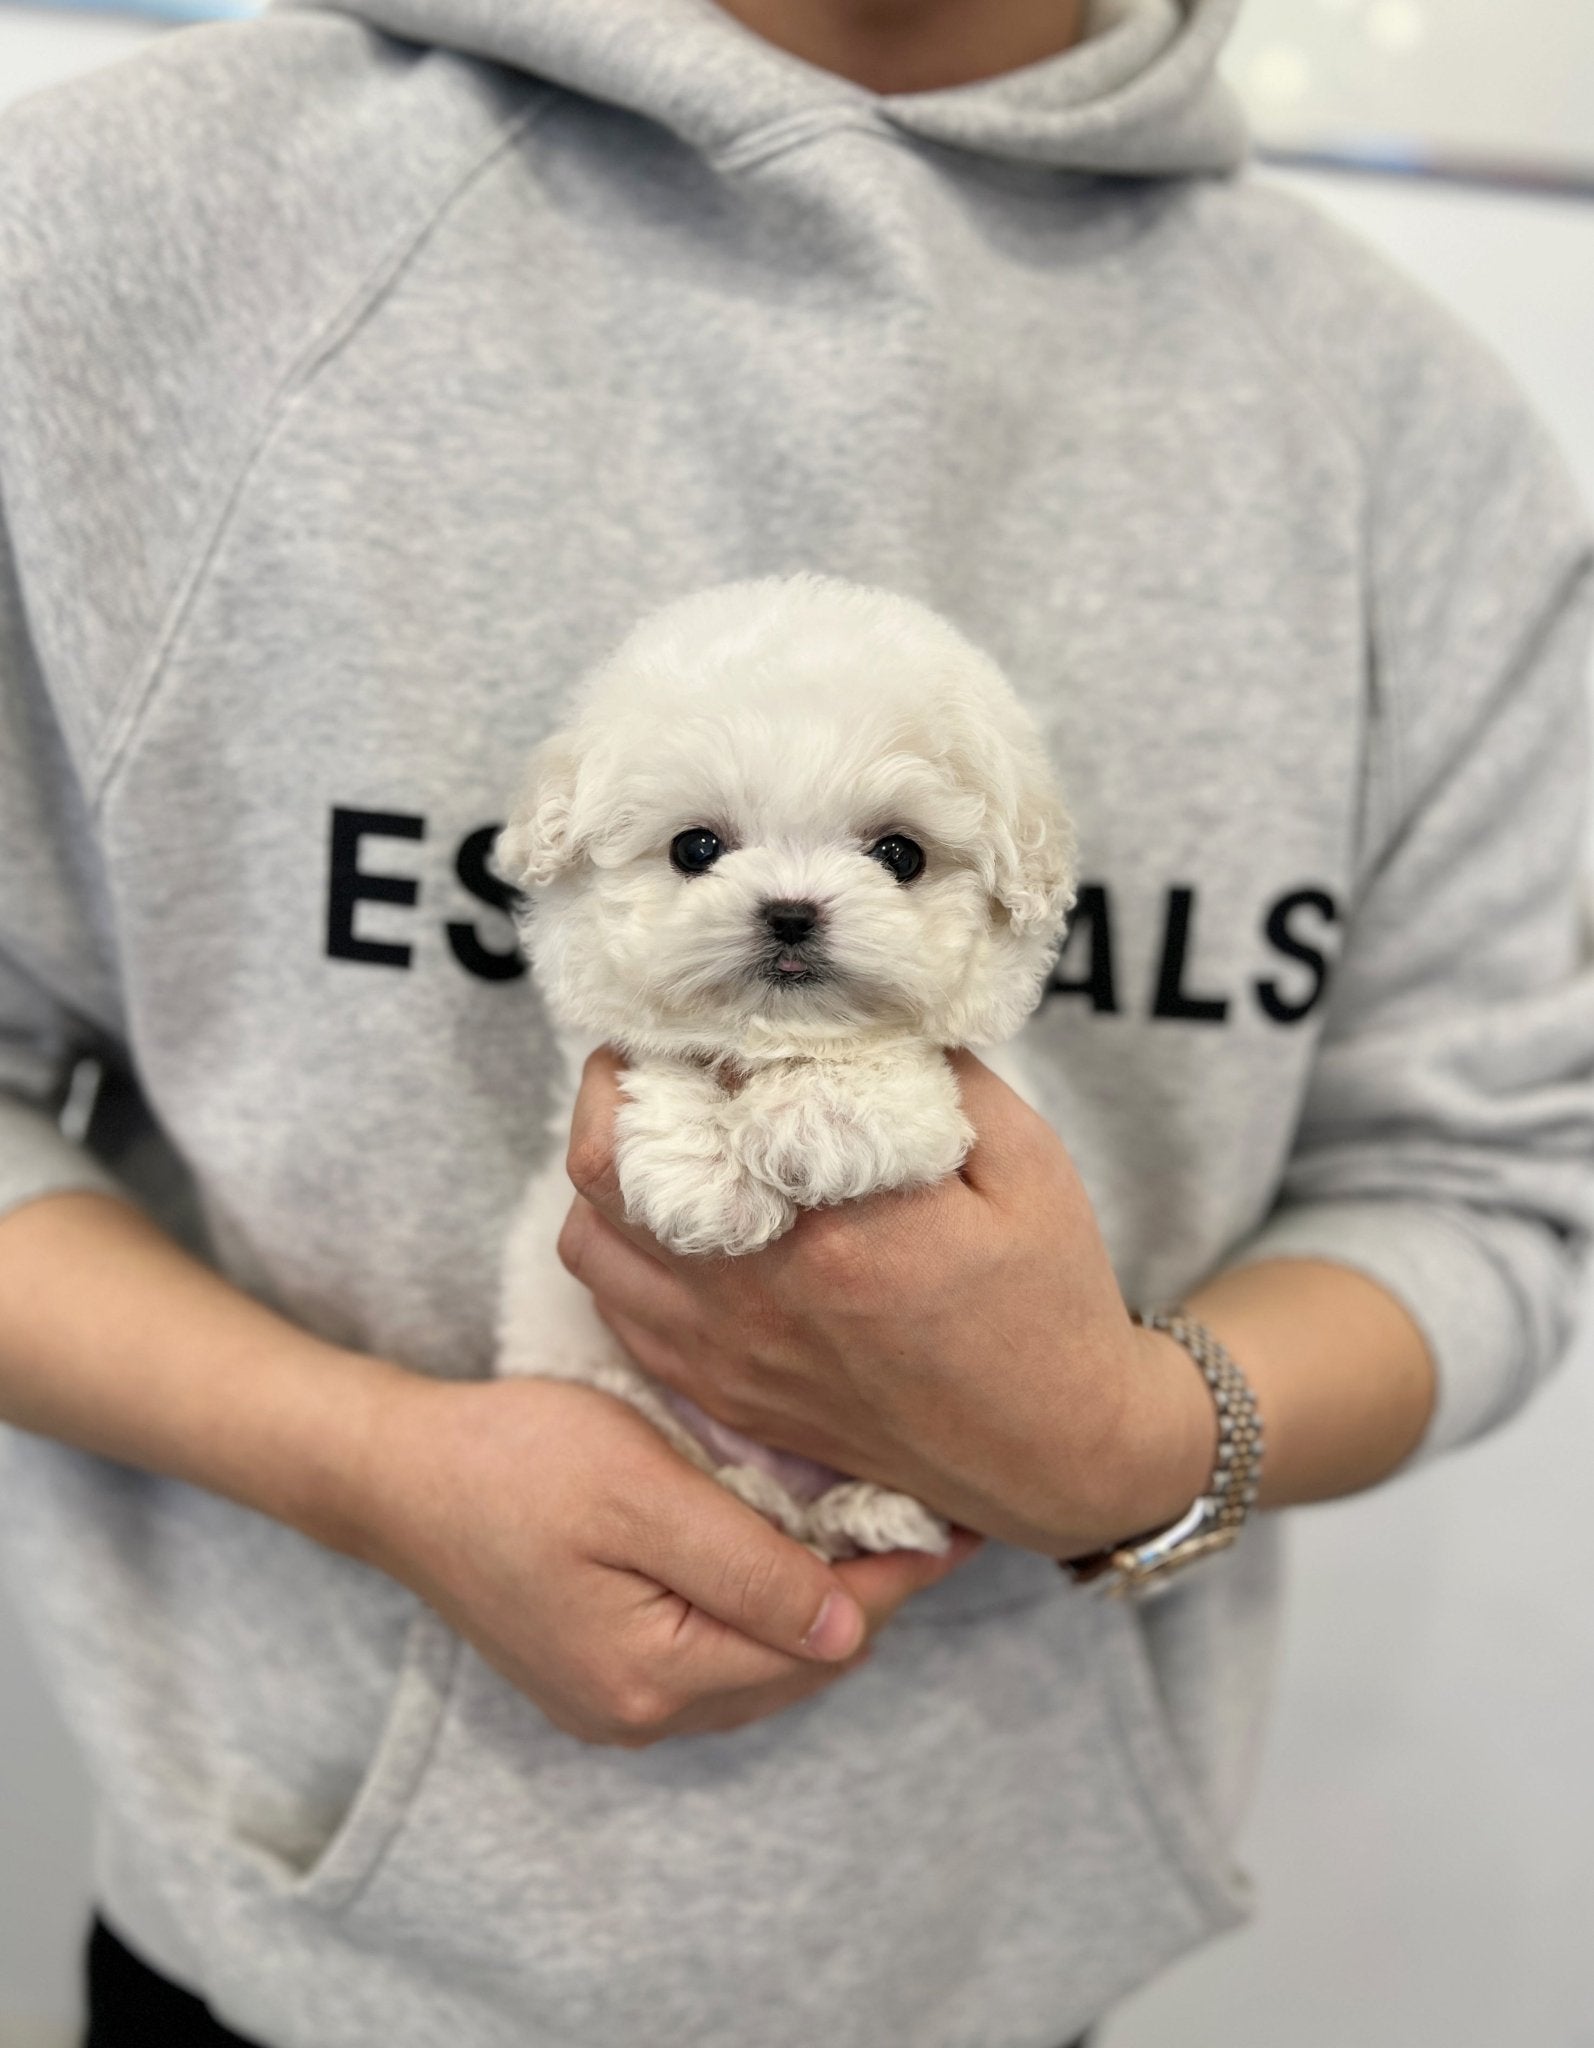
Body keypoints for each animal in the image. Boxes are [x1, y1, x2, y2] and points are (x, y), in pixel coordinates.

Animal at [489, 569, 1073, 1556]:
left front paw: (812, 1121)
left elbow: (878, 1066)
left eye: (899, 855)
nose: (792, 913)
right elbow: (669, 1054)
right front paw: (703, 1180)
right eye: (695, 848)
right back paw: (750, 1492)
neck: (776, 1041)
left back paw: (868, 1508)